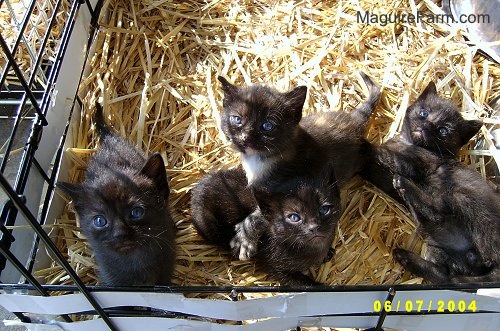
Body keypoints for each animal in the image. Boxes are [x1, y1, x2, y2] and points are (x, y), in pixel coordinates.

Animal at [190, 167, 340, 286]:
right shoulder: (275, 266)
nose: (314, 227)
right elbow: (302, 284)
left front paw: (328, 253)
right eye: (294, 217)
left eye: (324, 209)